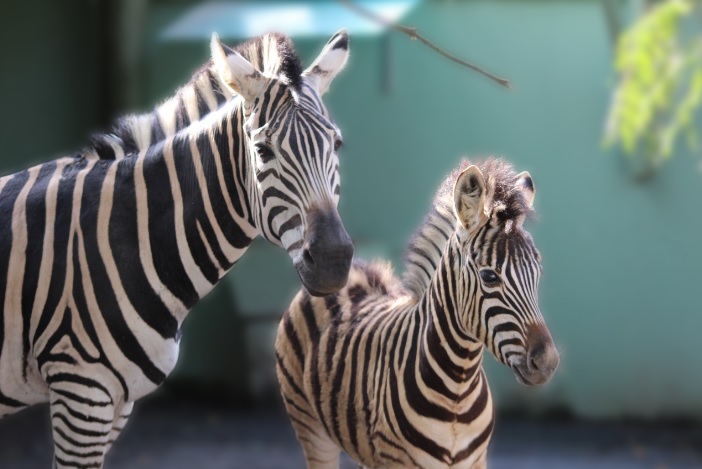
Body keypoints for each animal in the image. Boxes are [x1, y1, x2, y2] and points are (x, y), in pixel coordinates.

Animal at [0, 31, 352, 466]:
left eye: (337, 144)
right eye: (263, 151)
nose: (334, 261)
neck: (128, 235)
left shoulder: (117, 402)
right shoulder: (80, 389)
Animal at [276, 158, 560, 468]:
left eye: (538, 272)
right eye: (489, 277)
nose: (547, 363)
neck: (458, 393)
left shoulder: (476, 461)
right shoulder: (398, 461)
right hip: (310, 425)